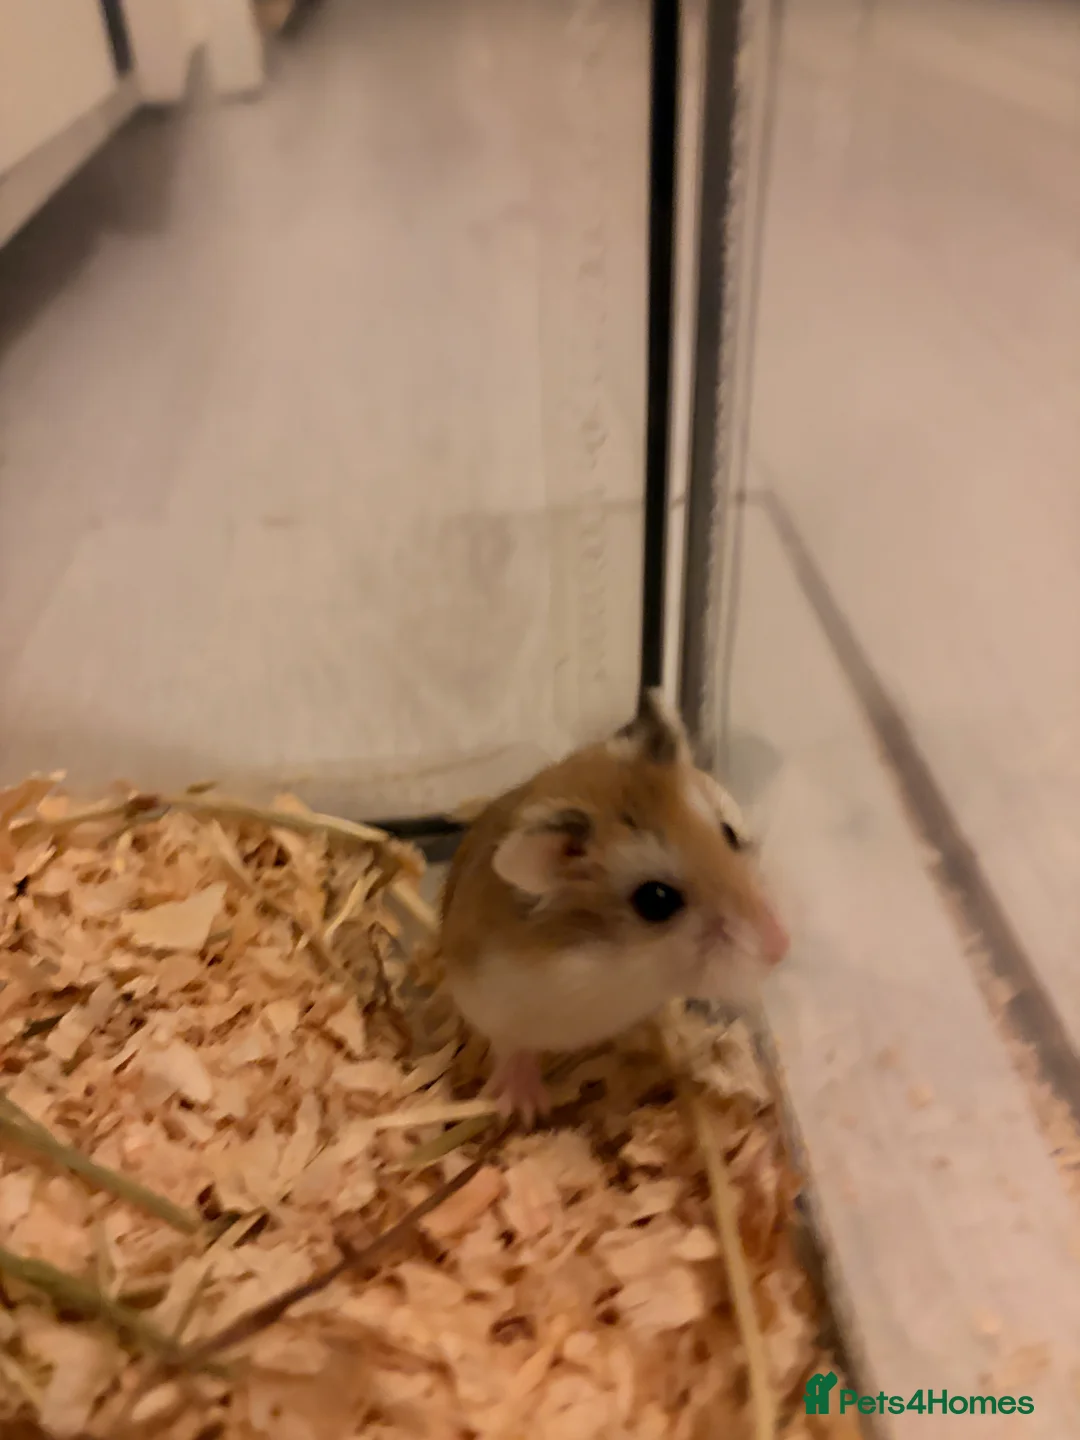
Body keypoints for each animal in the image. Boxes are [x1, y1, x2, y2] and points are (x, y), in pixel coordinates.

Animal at [439, 689, 789, 1122]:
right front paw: (526, 1110)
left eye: (729, 833)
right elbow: (511, 1047)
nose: (781, 946)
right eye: (656, 900)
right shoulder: (490, 1000)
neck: (621, 966)